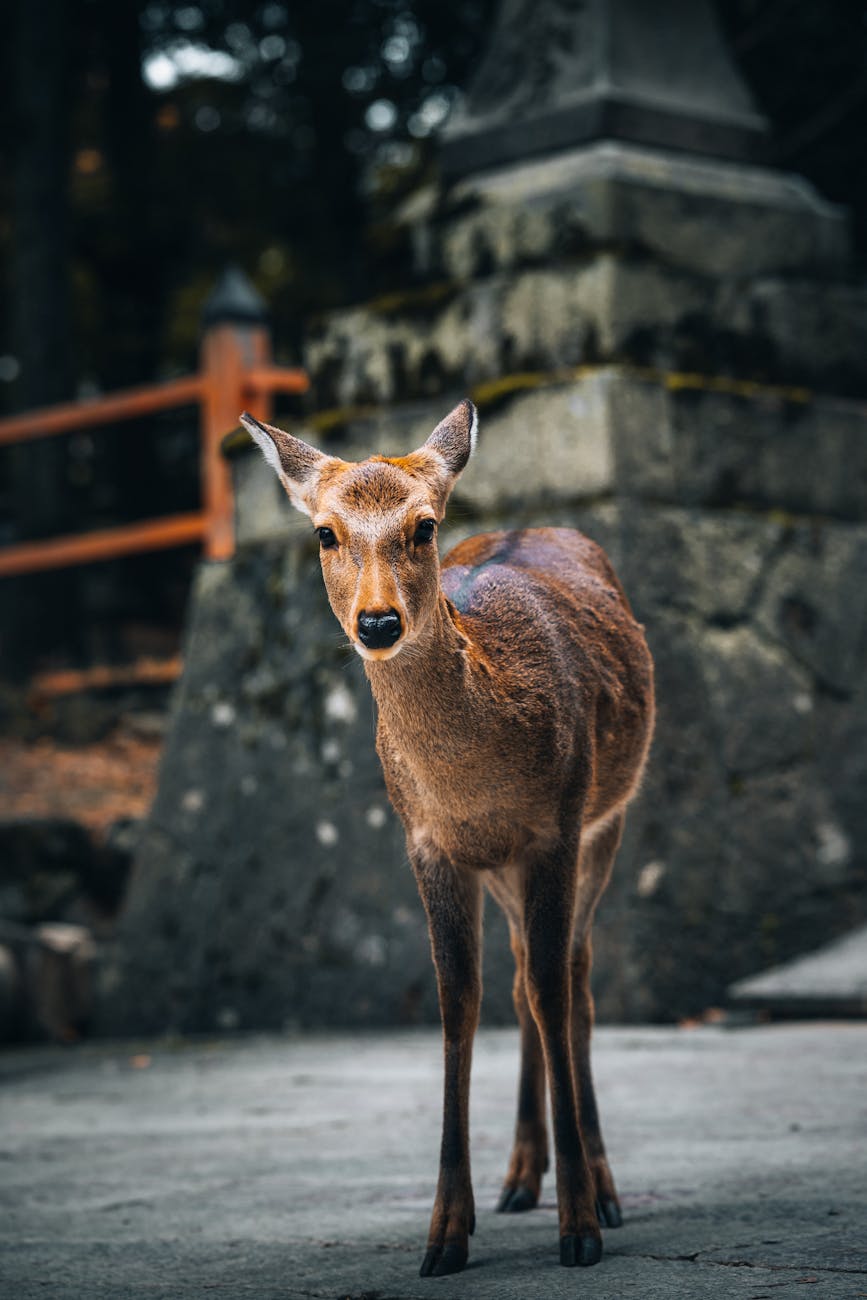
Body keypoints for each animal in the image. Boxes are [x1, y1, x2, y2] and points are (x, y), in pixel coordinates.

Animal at [240, 399, 655, 1277]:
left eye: (423, 525)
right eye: (324, 533)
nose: (377, 621)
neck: (472, 786)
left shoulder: (554, 828)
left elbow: (553, 991)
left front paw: (579, 1227)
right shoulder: (428, 845)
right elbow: (457, 1000)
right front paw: (444, 1232)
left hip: (607, 822)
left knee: (570, 980)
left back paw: (599, 1187)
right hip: (504, 870)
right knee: (523, 980)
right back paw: (519, 1177)